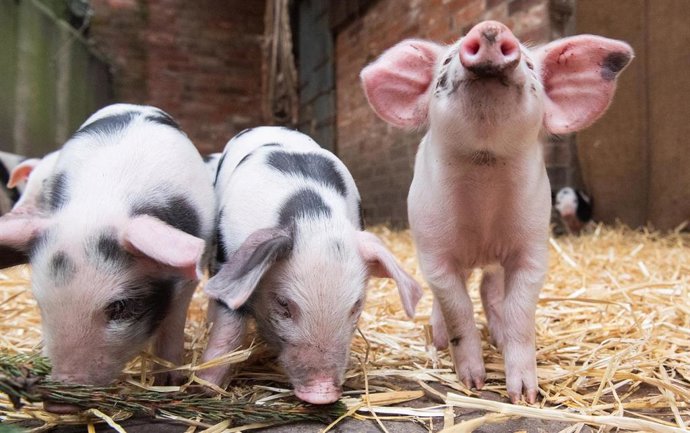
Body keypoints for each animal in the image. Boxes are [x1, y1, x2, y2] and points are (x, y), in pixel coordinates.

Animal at [0, 104, 215, 411]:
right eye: (41, 304)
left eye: (119, 307)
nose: (58, 404)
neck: (104, 204)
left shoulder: (188, 277)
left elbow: (174, 322)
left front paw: (169, 381)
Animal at [198, 126, 423, 404]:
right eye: (283, 303)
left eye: (356, 305)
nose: (322, 393)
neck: (315, 218)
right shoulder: (226, 256)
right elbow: (228, 327)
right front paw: (205, 387)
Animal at [361, 21, 633, 403]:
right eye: (445, 62)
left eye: (531, 67)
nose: (491, 28)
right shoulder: (434, 253)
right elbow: (457, 308)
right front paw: (472, 383)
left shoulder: (532, 250)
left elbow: (519, 312)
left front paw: (524, 396)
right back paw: (439, 341)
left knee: (490, 290)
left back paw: (498, 337)